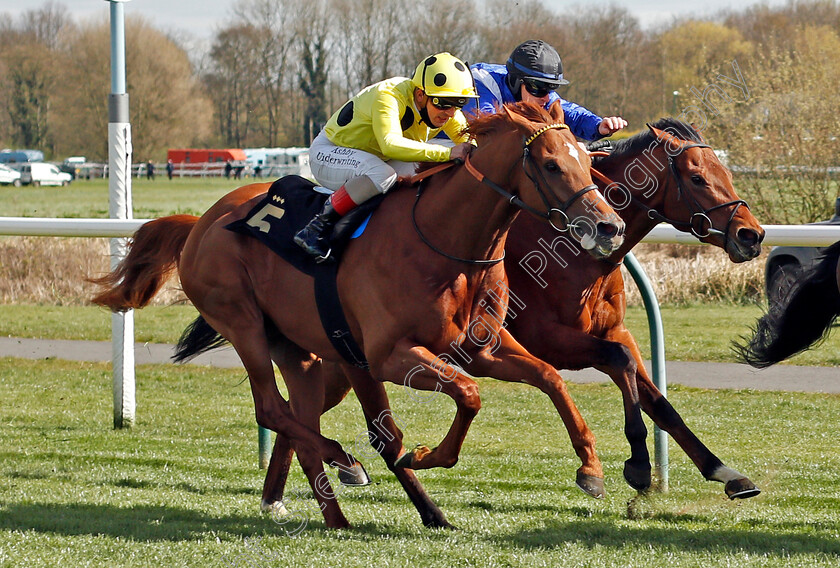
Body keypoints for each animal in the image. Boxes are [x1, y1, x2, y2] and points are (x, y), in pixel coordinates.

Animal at [92, 101, 628, 528]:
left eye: (588, 160)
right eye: (552, 165)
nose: (609, 225)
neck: (446, 241)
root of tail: (201, 221)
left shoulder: (481, 348)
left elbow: (549, 378)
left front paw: (591, 470)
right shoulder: (391, 356)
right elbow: (468, 395)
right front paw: (431, 455)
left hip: (298, 349)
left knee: (303, 413)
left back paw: (346, 512)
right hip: (244, 324)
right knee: (274, 409)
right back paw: (346, 462)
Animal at [256, 117, 768, 516]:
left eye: (725, 170)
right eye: (698, 177)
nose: (752, 234)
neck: (575, 251)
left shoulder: (612, 329)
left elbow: (656, 398)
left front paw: (725, 472)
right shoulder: (552, 339)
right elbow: (619, 366)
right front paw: (636, 467)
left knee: (301, 410)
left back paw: (292, 489)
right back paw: (298, 486)